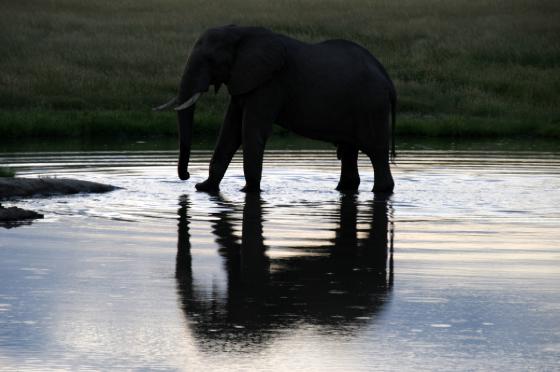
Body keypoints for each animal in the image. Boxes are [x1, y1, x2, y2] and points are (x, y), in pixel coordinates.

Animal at [155, 25, 396, 193]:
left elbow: (251, 131)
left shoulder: (269, 83)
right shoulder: (244, 80)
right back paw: (343, 189)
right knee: (349, 151)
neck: (241, 32)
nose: (187, 176)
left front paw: (248, 191)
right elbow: (229, 133)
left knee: (376, 152)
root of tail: (387, 77)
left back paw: (381, 191)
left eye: (210, 59)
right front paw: (205, 189)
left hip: (372, 106)